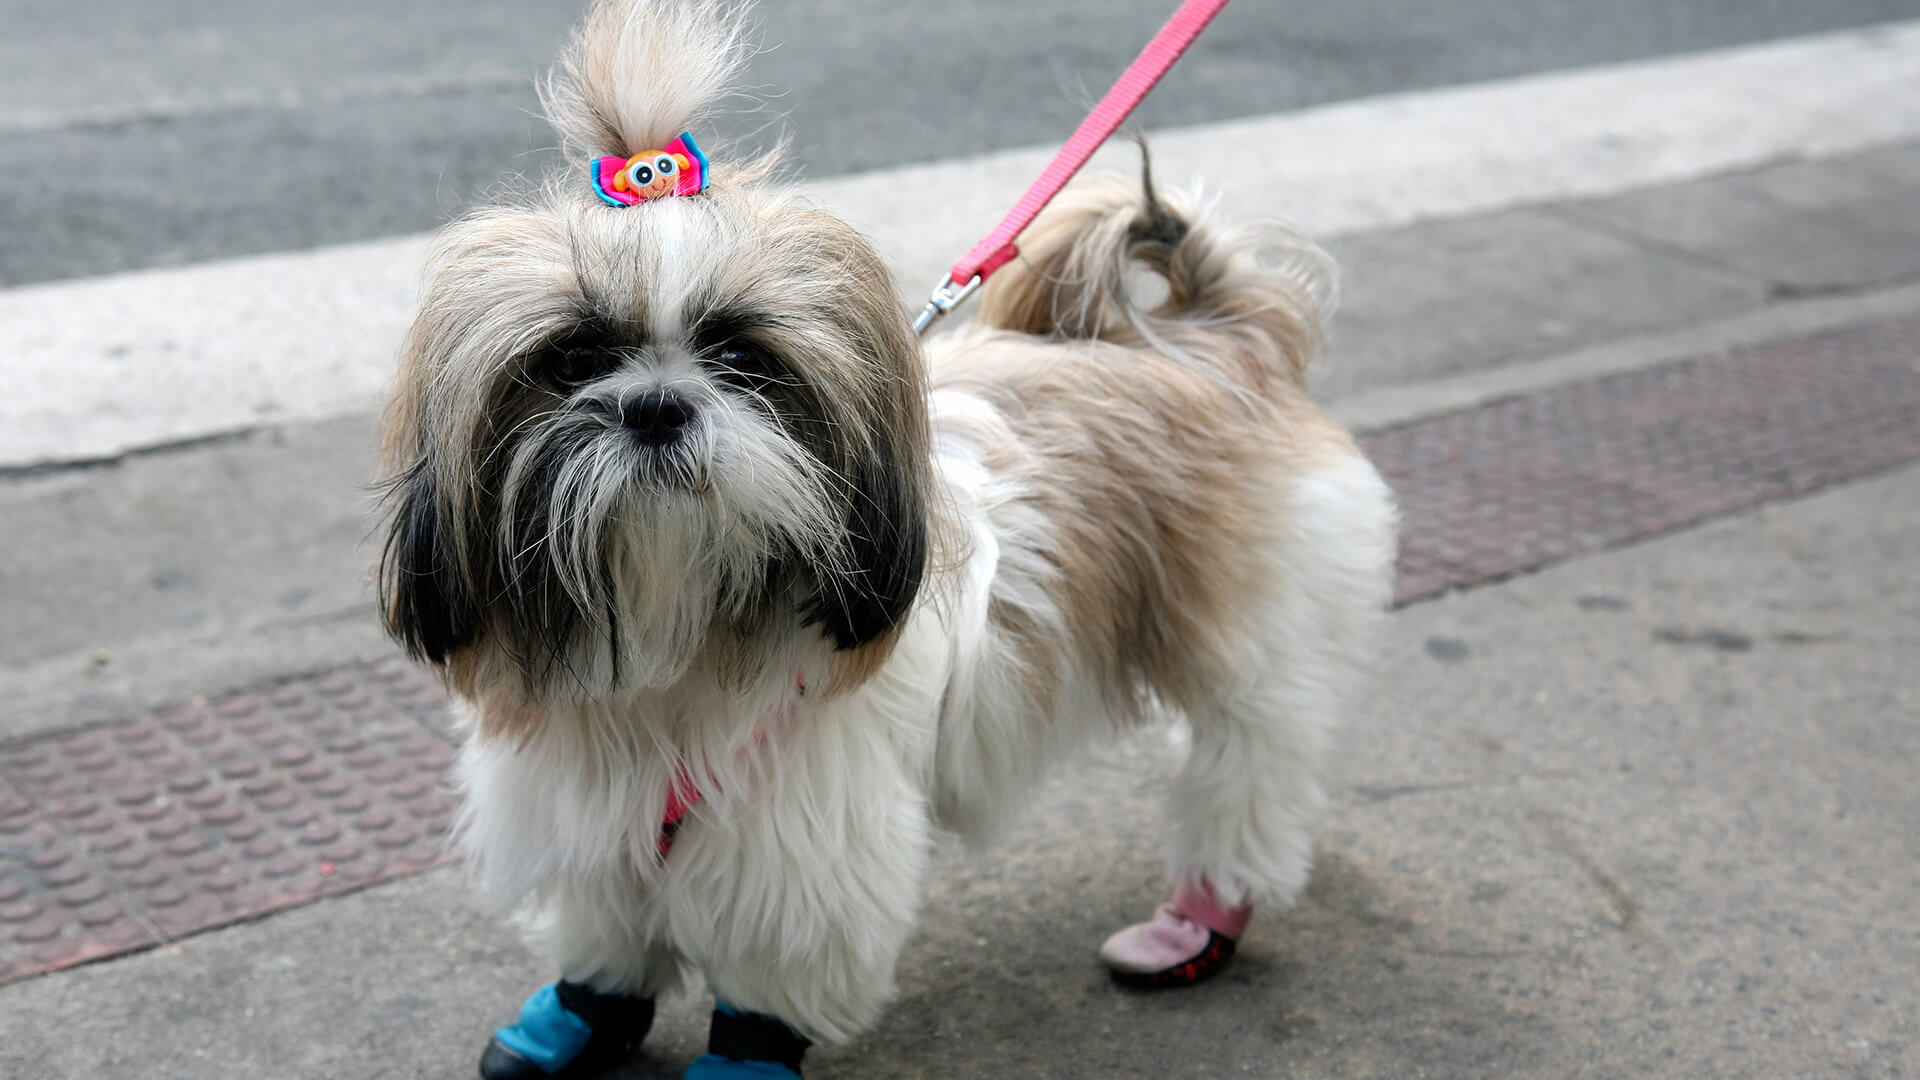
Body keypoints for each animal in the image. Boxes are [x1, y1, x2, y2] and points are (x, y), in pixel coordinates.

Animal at [374, 4, 1397, 1068]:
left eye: (742, 357)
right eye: (572, 358)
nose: (656, 406)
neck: (673, 627)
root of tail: (1222, 344)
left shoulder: (802, 846)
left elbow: (775, 970)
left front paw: (744, 1061)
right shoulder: (578, 805)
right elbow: (606, 929)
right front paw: (582, 1013)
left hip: (1262, 642)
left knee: (1250, 775)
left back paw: (1201, 920)